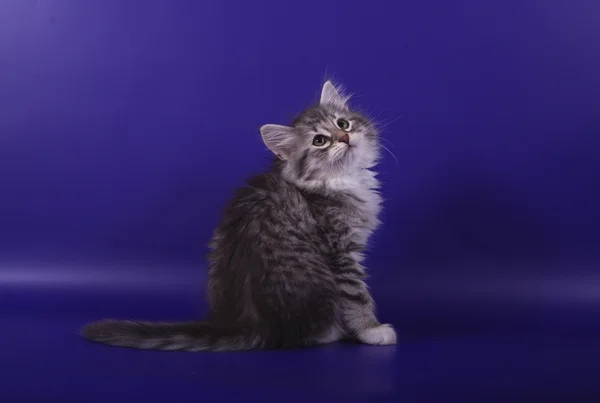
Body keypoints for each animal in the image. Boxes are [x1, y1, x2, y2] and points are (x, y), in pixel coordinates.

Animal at [81, 81, 398, 350]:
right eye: (320, 141)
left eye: (342, 123)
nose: (344, 137)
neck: (338, 181)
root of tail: (251, 322)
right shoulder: (340, 250)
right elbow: (356, 296)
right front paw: (371, 330)